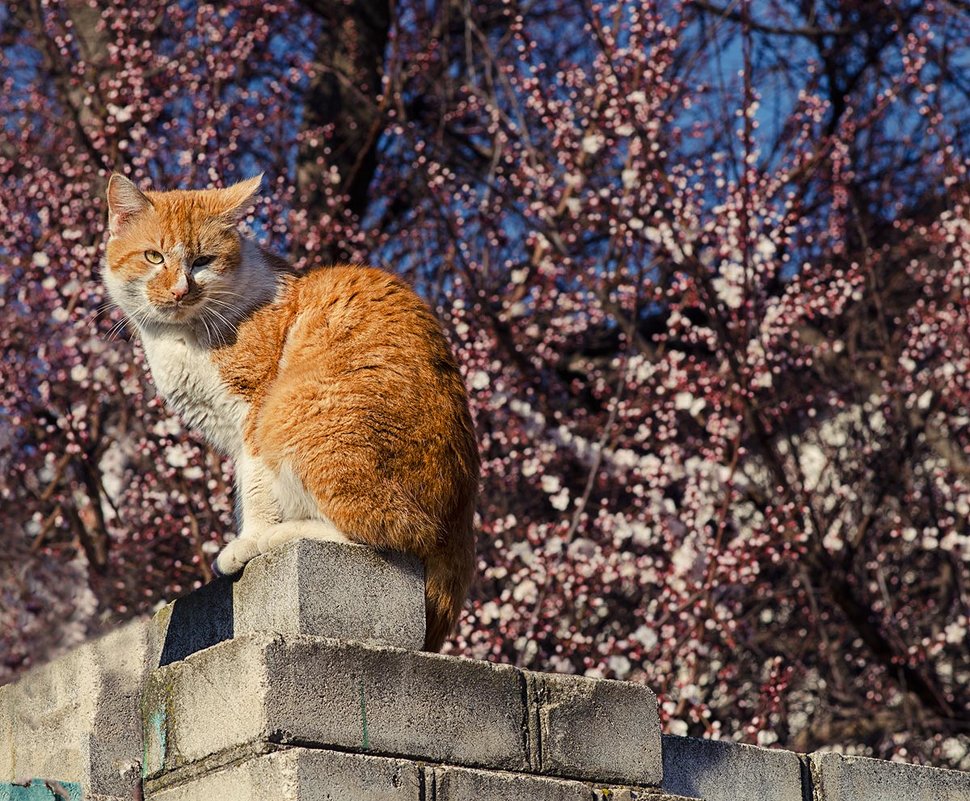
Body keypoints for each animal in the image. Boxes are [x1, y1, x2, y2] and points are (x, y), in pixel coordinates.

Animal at [102, 175, 476, 648]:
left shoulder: (254, 411)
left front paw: (251, 538)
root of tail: (460, 521)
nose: (180, 290)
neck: (181, 337)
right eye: (154, 256)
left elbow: (255, 488)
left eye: (203, 261)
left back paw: (282, 535)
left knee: (389, 534)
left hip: (297, 412)